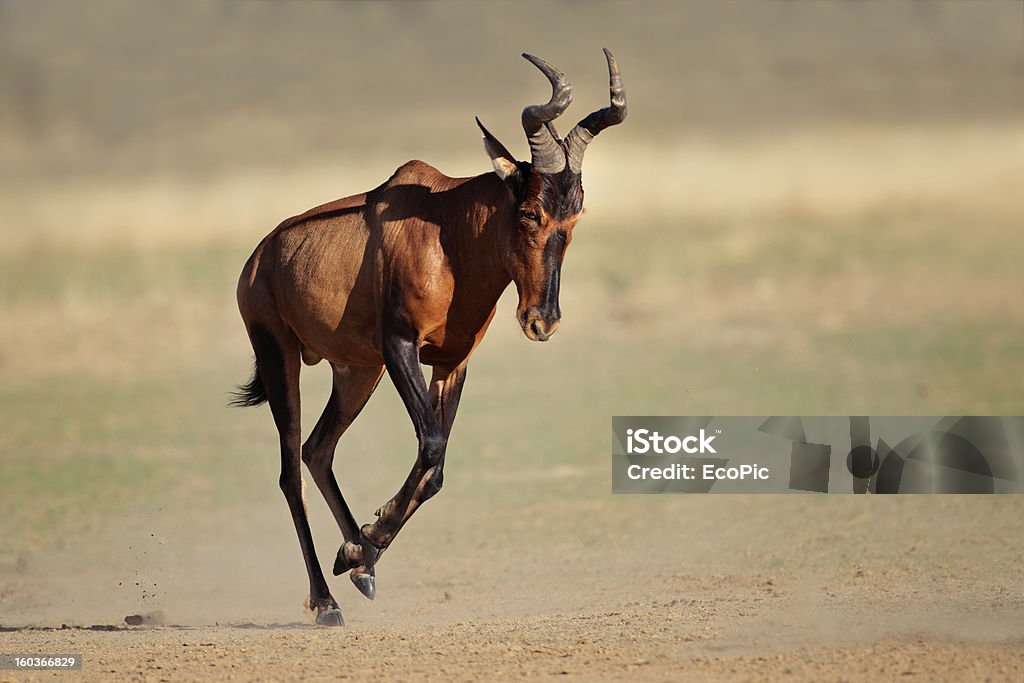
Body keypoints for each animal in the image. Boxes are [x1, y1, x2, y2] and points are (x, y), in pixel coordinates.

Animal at [235, 49, 626, 626]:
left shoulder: (451, 362)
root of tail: (258, 257)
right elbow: (433, 443)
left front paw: (361, 549)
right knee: (290, 470)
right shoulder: (400, 347)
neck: (447, 228)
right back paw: (326, 602)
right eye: (529, 212)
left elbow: (435, 466)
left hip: (358, 372)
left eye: (574, 215)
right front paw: (369, 538)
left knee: (317, 449)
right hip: (280, 355)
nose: (542, 320)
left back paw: (359, 567)